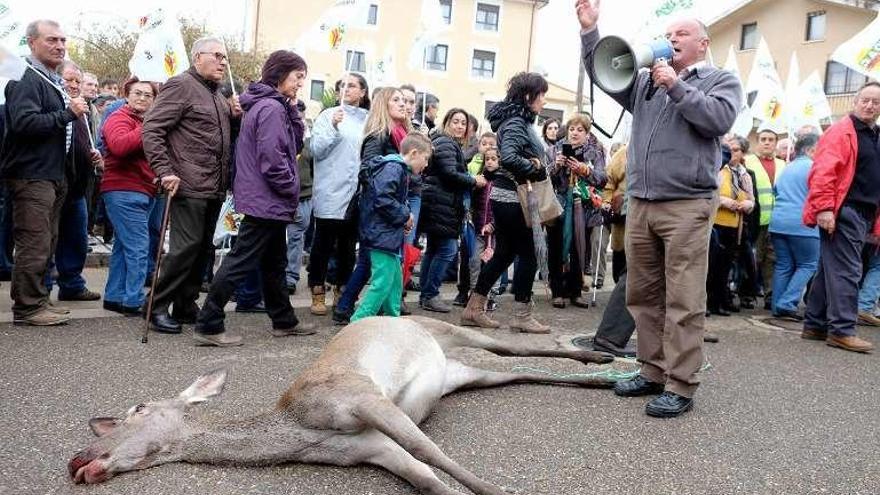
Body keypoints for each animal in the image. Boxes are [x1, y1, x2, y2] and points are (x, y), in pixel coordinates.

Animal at [70, 316, 612, 494]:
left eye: (138, 408)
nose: (78, 459)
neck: (300, 432)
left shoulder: (361, 396)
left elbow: (435, 455)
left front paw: (497, 491)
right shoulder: (370, 448)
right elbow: (426, 477)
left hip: (447, 329)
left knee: (510, 346)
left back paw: (598, 355)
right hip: (457, 376)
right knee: (513, 371)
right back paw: (601, 377)